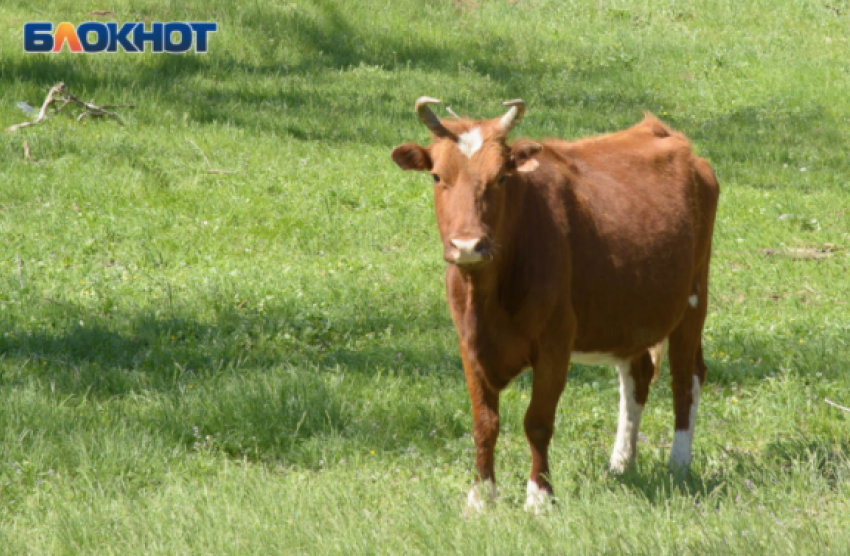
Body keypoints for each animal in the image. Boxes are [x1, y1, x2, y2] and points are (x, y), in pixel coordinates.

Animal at [390, 96, 716, 512]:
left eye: (501, 177)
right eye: (436, 176)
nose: (467, 245)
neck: (488, 296)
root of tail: (662, 132)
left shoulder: (554, 342)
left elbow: (538, 422)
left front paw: (539, 497)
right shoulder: (469, 343)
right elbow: (484, 423)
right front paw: (480, 496)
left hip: (693, 298)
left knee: (685, 379)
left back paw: (678, 464)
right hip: (629, 313)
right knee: (637, 377)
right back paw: (621, 464)